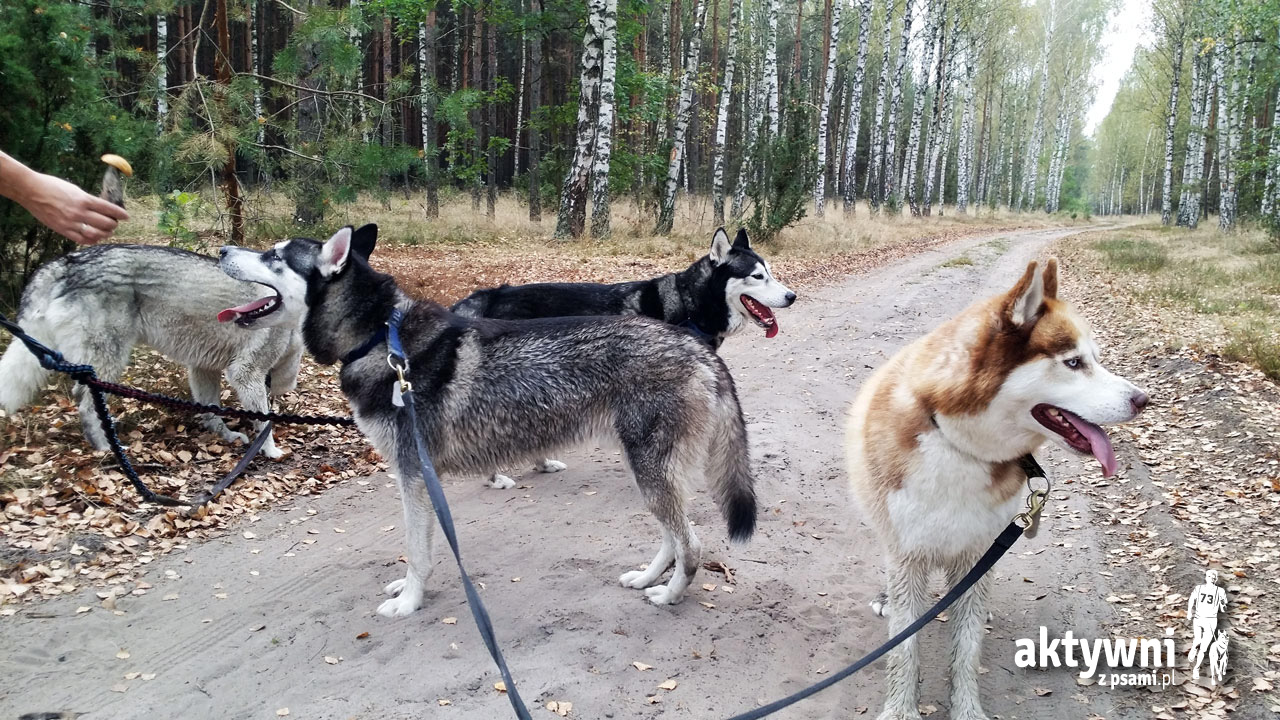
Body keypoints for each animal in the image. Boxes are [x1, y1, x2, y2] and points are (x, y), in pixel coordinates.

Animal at [0, 245, 303, 459]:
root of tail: (66, 262)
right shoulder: (246, 373)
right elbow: (264, 423)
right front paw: (270, 450)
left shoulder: (203, 369)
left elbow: (211, 412)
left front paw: (226, 436)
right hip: (109, 363)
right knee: (86, 405)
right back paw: (106, 449)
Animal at [217, 225, 756, 617]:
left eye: (274, 256)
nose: (221, 249)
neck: (379, 339)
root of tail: (698, 349)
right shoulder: (419, 481)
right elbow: (420, 550)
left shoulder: (413, 478)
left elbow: (417, 552)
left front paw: (408, 604)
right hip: (648, 473)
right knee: (673, 536)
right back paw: (647, 578)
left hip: (650, 472)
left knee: (691, 544)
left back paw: (669, 595)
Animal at [451, 227, 796, 488]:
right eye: (757, 276)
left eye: (770, 272)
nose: (792, 296)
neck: (688, 304)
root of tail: (490, 294)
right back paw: (496, 478)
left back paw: (542, 463)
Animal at [845, 259, 1149, 720]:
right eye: (1073, 362)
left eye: (1095, 359)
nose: (1143, 399)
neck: (958, 444)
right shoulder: (908, 553)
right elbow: (904, 648)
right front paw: (900, 710)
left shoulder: (979, 550)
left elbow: (967, 648)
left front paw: (967, 709)